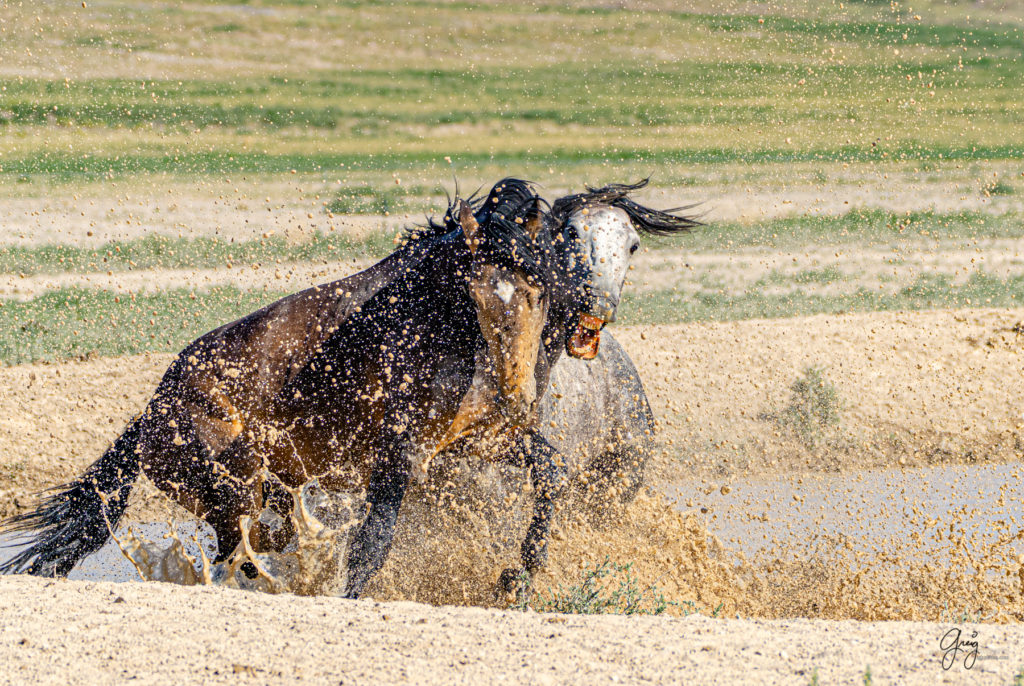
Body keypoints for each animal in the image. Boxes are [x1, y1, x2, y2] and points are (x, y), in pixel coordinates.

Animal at [0, 180, 593, 597]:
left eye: (539, 289)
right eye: (474, 290)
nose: (518, 394)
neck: (420, 318)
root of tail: (149, 417)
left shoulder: (474, 442)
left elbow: (553, 474)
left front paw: (518, 575)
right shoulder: (399, 454)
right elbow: (374, 541)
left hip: (259, 489)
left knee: (261, 541)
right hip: (233, 488)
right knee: (238, 548)